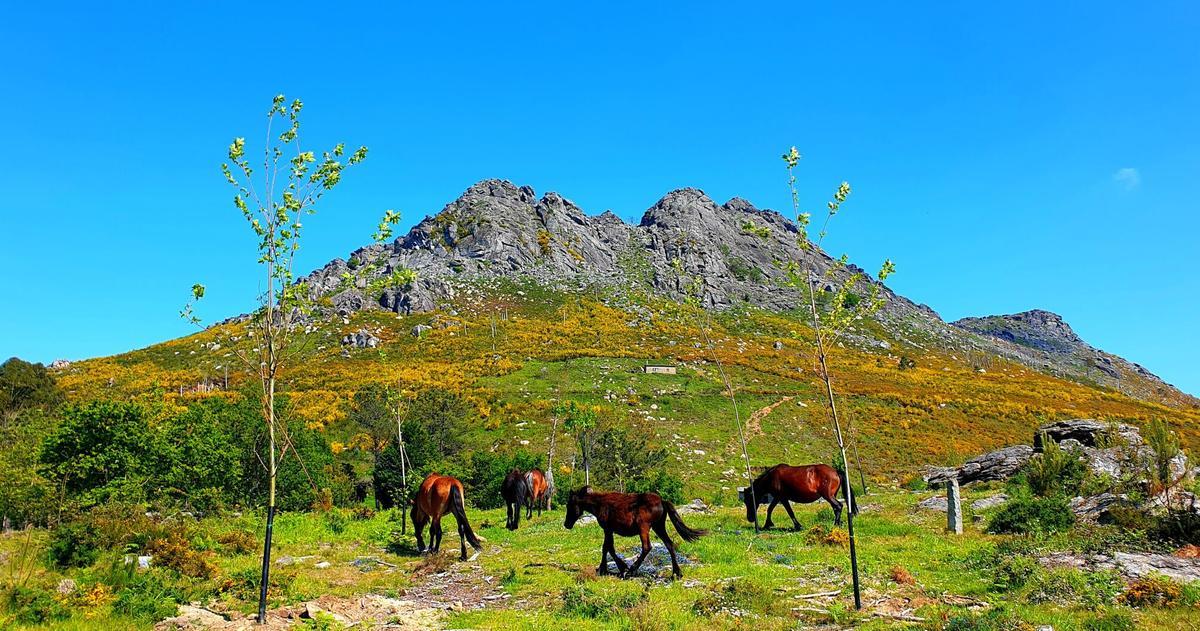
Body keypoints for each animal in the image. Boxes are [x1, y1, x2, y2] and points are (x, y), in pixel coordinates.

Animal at [564, 486, 705, 578]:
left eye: (569, 505)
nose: (566, 524)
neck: (599, 505)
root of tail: (662, 501)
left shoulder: (607, 529)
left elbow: (607, 548)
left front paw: (616, 568)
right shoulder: (609, 530)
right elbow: (608, 548)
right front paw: (606, 568)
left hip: (644, 527)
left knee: (647, 547)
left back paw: (632, 570)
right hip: (658, 526)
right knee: (669, 544)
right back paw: (677, 573)